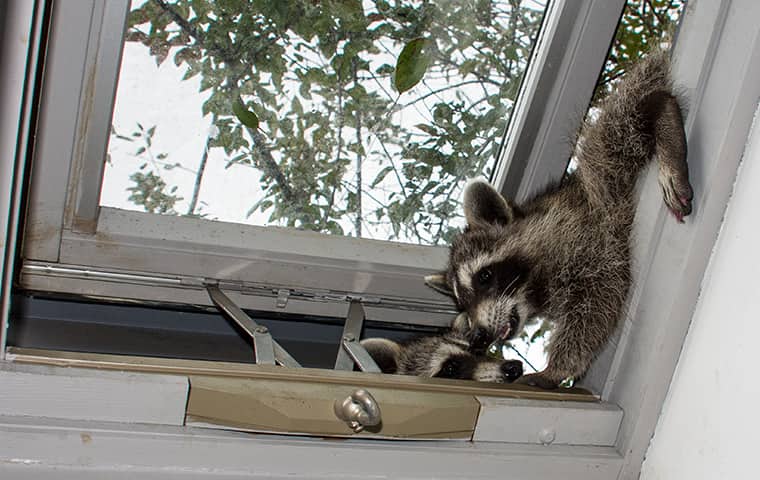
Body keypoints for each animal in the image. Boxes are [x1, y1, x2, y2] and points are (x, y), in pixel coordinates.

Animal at [424, 51, 693, 389]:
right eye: (462, 304)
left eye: (484, 277)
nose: (480, 336)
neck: (535, 288)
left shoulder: (585, 231)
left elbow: (598, 299)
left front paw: (557, 368)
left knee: (616, 129)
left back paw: (661, 109)